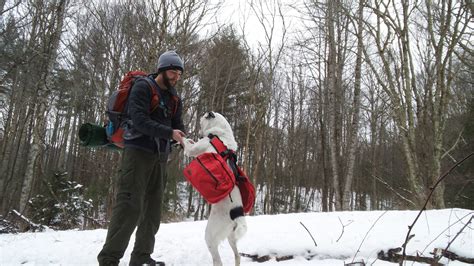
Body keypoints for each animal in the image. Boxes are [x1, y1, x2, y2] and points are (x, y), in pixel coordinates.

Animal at [182, 111, 248, 266]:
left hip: (210, 236)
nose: (197, 128)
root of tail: (236, 215)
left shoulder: (195, 149)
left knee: (218, 261)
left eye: (201, 118)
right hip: (231, 238)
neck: (221, 134)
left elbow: (187, 144)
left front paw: (181, 137)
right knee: (237, 256)